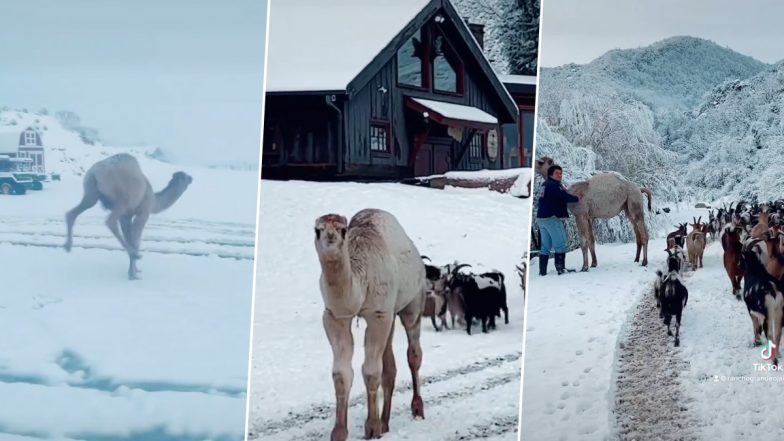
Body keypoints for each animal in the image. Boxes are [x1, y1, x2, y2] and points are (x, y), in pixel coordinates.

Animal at [64, 153, 193, 278]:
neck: (155, 201)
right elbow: (136, 241)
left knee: (72, 213)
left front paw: (134, 270)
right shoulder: (143, 212)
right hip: (122, 200)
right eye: (186, 177)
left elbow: (130, 239)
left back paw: (67, 246)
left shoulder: (126, 216)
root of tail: (95, 171)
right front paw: (133, 274)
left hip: (90, 193)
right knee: (110, 221)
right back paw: (135, 255)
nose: (191, 178)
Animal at [312, 209, 426, 440]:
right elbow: (341, 373)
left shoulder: (378, 314)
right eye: (317, 230)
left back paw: (417, 409)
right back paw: (386, 422)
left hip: (413, 301)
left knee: (413, 353)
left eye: (342, 229)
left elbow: (372, 371)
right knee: (389, 366)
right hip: (391, 314)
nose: (330, 239)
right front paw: (339, 431)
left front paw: (371, 427)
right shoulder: (335, 317)